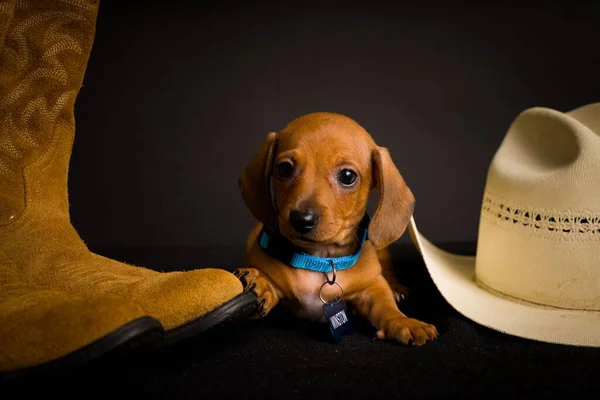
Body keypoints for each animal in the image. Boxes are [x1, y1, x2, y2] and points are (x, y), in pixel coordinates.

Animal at [234, 111, 436, 346]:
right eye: (284, 168)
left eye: (347, 176)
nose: (302, 220)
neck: (319, 260)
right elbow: (268, 279)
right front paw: (259, 281)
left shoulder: (372, 286)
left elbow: (385, 306)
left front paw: (404, 321)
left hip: (382, 251)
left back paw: (396, 288)